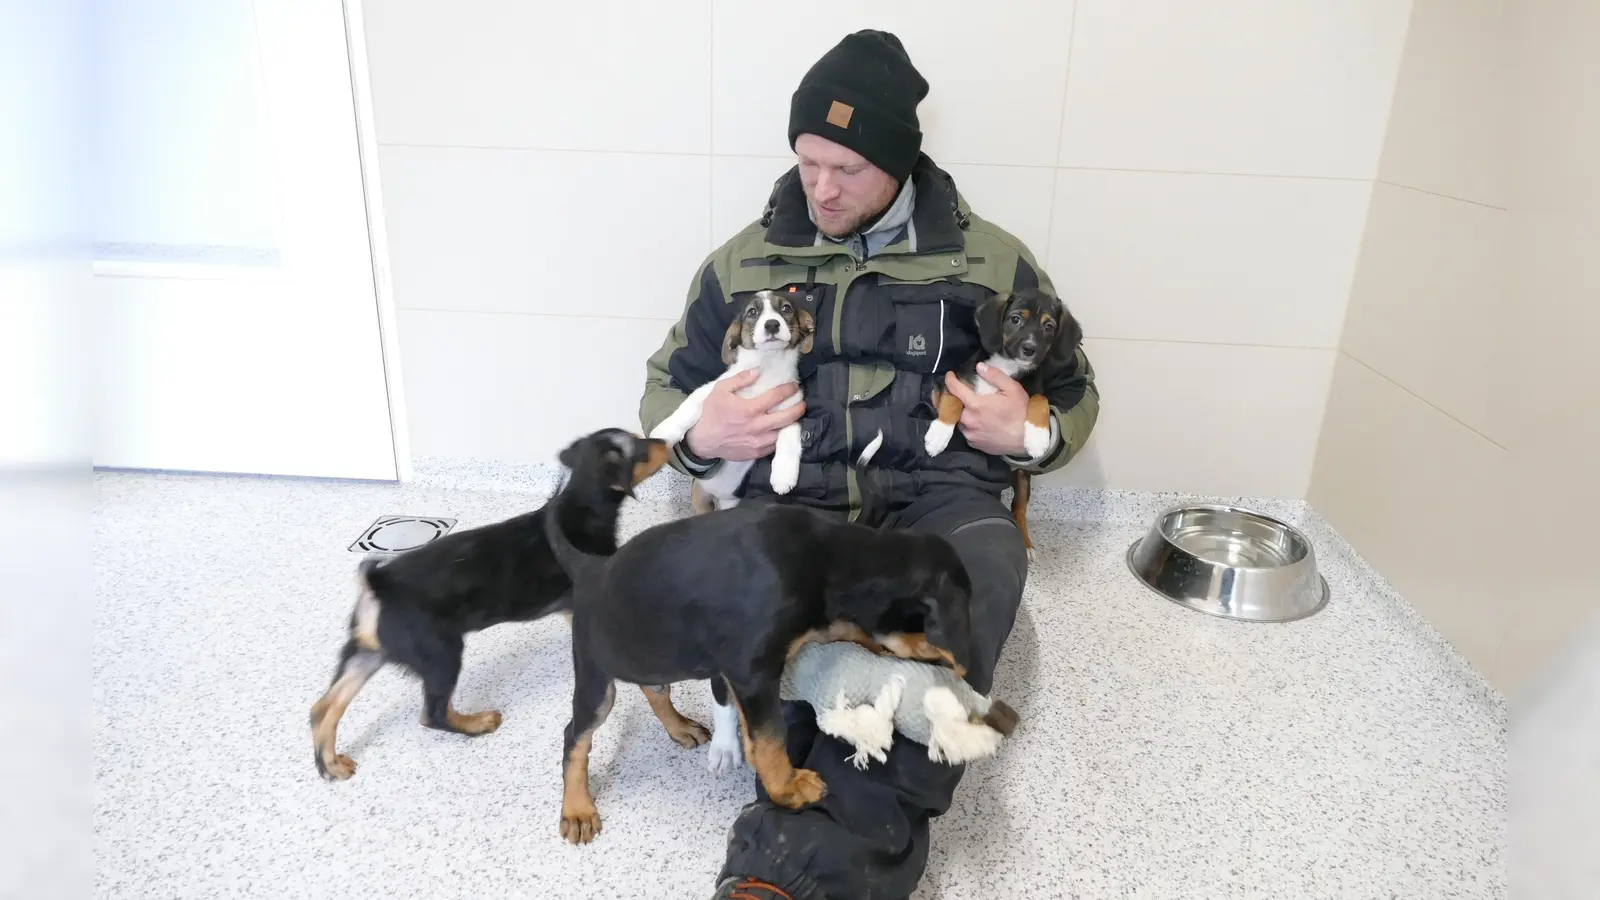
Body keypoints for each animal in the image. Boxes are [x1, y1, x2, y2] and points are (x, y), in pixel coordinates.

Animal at [305, 425, 668, 778]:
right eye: (641, 447)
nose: (665, 441)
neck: (582, 500)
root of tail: (378, 586)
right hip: (440, 653)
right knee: (432, 713)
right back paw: (477, 723)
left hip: (369, 650)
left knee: (324, 707)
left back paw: (331, 765)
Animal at [544, 432, 979, 839]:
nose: (965, 669)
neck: (831, 556)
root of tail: (588, 569)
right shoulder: (753, 672)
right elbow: (771, 737)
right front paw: (788, 789)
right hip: (597, 677)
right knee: (574, 736)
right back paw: (577, 810)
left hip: (643, 650)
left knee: (653, 689)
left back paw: (680, 728)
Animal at [646, 288, 812, 512]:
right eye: (752, 312)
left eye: (786, 309)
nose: (772, 324)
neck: (766, 366)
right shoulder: (713, 389)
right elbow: (688, 407)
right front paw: (666, 431)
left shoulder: (792, 408)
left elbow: (788, 439)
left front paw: (783, 475)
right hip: (700, 496)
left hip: (729, 501)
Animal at [928, 286, 1088, 554]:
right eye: (1015, 319)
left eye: (1049, 326)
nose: (1030, 348)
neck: (1006, 367)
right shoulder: (949, 383)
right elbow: (954, 402)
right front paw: (938, 435)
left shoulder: (1034, 389)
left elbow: (1040, 400)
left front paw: (1037, 437)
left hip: (1023, 478)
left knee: (1018, 508)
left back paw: (1026, 544)